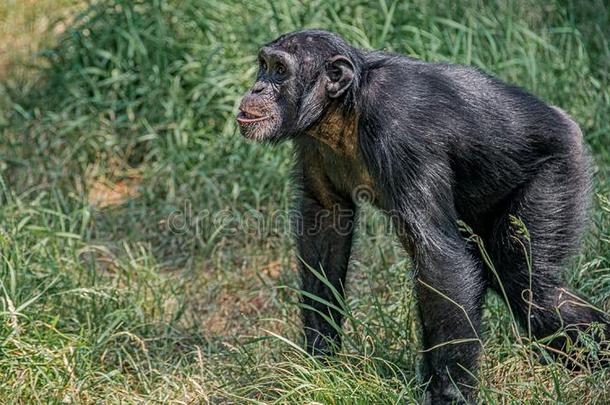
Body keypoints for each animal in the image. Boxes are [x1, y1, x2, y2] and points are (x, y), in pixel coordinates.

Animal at [235, 29, 604, 404]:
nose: (257, 87)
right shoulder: (313, 143)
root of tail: (568, 123)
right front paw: (319, 363)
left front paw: (451, 394)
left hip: (557, 176)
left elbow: (441, 258)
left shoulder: (401, 131)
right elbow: (325, 221)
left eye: (280, 70)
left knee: (527, 287)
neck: (346, 109)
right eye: (264, 65)